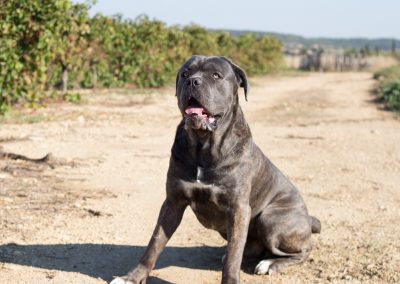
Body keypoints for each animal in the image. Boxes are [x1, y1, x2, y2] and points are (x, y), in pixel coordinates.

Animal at [110, 55, 322, 284]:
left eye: (216, 75)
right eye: (185, 73)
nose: (193, 81)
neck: (204, 144)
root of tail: (308, 218)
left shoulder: (238, 209)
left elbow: (233, 258)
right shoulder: (173, 201)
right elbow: (154, 243)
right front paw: (132, 277)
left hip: (272, 219)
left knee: (302, 251)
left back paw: (269, 264)